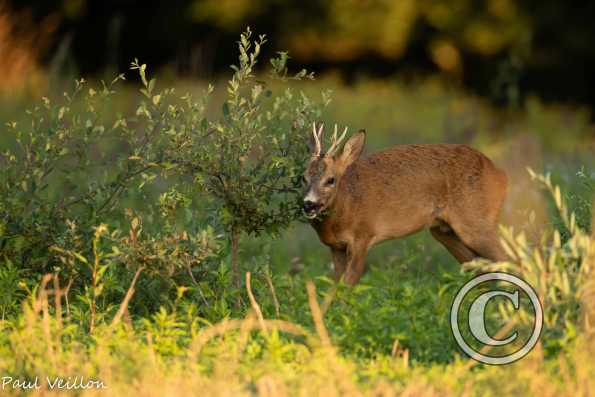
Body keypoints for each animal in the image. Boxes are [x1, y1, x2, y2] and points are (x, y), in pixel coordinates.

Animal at [302, 124, 508, 284]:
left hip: (476, 221)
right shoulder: (336, 247)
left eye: (331, 179)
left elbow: (348, 285)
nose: (308, 204)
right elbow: (334, 286)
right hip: (443, 230)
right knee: (481, 267)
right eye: (303, 178)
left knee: (506, 260)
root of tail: (500, 175)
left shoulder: (362, 236)